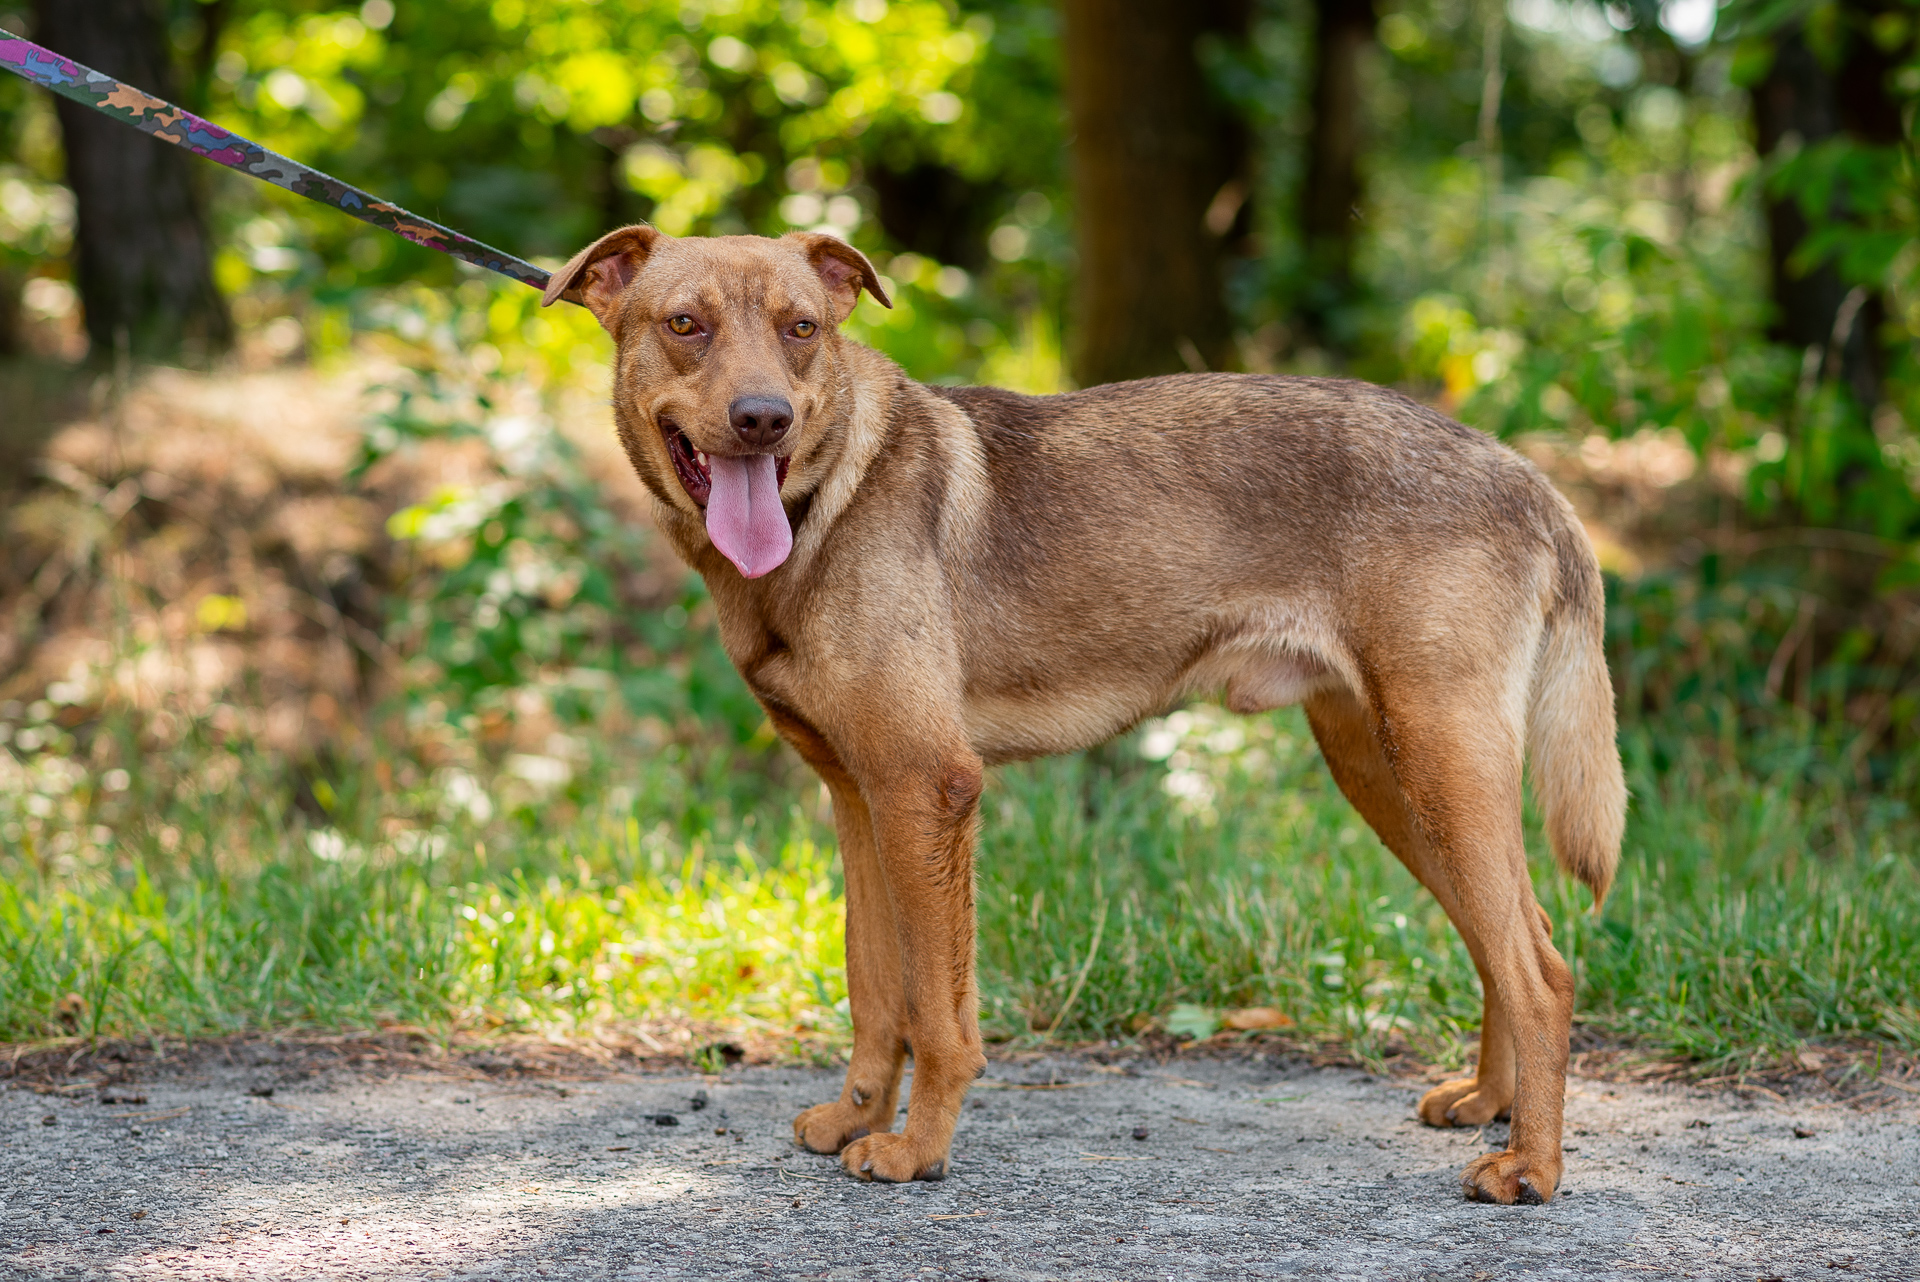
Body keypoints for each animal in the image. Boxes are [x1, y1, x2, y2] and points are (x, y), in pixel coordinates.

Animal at [549, 222, 1628, 1205]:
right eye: (685, 325)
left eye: (801, 328)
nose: (763, 418)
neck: (827, 503)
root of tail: (1526, 477)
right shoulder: (859, 799)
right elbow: (875, 989)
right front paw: (856, 1117)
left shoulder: (927, 789)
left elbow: (938, 1015)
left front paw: (915, 1150)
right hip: (1393, 773)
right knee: (1512, 936)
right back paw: (1489, 1102)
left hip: (1439, 760)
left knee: (1540, 970)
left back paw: (1530, 1168)